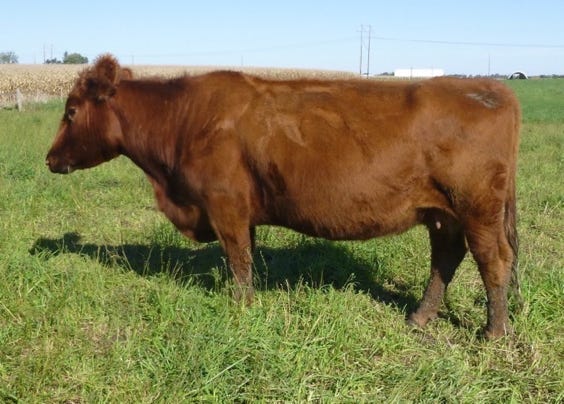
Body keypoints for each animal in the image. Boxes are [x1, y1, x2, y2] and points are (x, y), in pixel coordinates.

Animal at [46, 54, 521, 339]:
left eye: (71, 111)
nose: (49, 159)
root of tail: (490, 87)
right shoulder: (239, 213)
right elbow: (245, 258)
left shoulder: (225, 206)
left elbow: (238, 260)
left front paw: (242, 309)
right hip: (443, 212)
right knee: (446, 258)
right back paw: (420, 317)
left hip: (478, 207)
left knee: (493, 260)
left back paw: (493, 333)